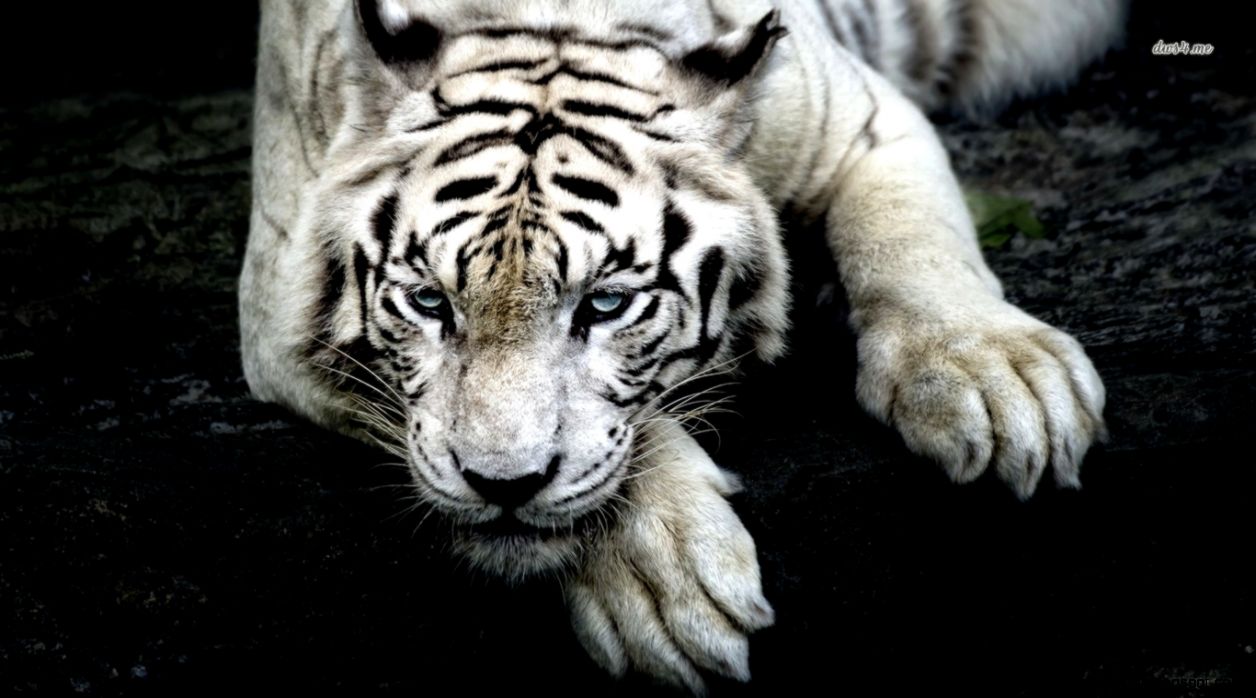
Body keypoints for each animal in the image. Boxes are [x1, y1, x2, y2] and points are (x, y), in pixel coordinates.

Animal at [239, 0, 1122, 690]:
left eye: (606, 303)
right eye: (429, 301)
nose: (502, 485)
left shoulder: (864, 119)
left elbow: (912, 240)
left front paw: (1001, 384)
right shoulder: (276, 311)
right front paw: (664, 580)